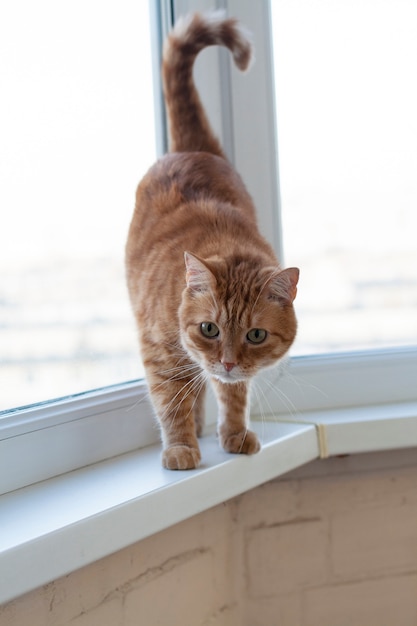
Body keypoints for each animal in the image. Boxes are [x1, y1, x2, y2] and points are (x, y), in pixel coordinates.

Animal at [125, 12, 298, 468]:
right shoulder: (160, 351)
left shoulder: (231, 375)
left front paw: (233, 433)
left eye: (256, 336)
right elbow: (171, 401)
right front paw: (181, 447)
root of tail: (193, 149)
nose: (228, 360)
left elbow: (233, 394)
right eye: (209, 328)